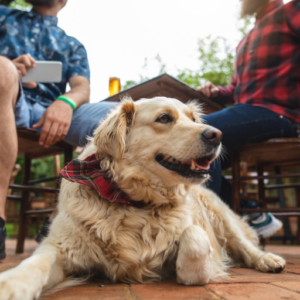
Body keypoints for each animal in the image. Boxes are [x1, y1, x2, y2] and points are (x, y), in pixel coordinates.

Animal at [0, 97, 286, 298]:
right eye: (164, 118)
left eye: (193, 118)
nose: (216, 135)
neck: (135, 202)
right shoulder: (60, 246)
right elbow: (35, 262)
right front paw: (12, 285)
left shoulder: (196, 233)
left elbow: (194, 238)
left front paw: (188, 270)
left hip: (220, 216)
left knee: (245, 245)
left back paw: (268, 260)